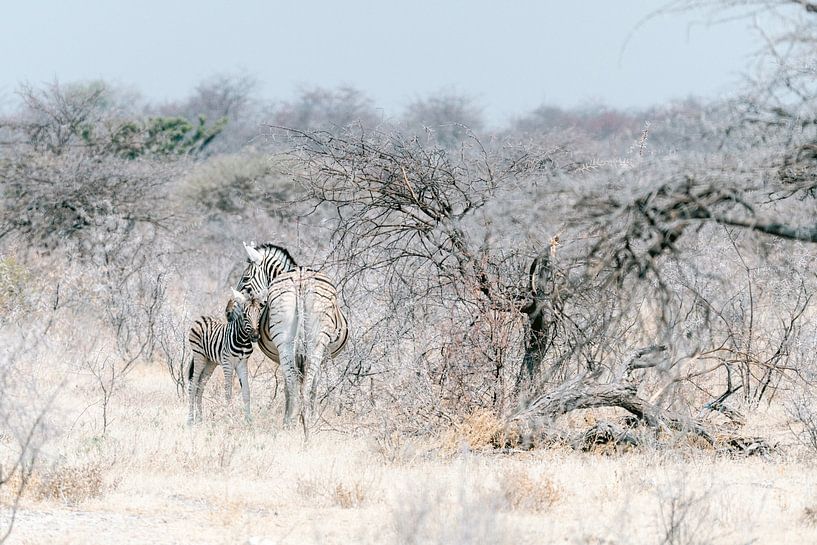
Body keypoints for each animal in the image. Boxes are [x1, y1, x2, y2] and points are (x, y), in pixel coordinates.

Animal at [187, 286, 262, 422]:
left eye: (259, 314)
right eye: (245, 315)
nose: (255, 336)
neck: (242, 340)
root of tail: (202, 317)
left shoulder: (243, 364)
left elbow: (246, 391)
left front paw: (248, 420)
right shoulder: (228, 364)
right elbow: (228, 392)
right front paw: (229, 417)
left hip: (210, 362)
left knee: (200, 387)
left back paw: (200, 419)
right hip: (199, 356)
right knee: (193, 385)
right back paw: (190, 420)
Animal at [262, 266, 348, 436]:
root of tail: (300, 276)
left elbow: (287, 388)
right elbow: (315, 387)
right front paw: (314, 417)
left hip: (285, 342)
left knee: (294, 386)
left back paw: (291, 425)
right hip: (317, 341)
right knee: (306, 386)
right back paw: (308, 426)